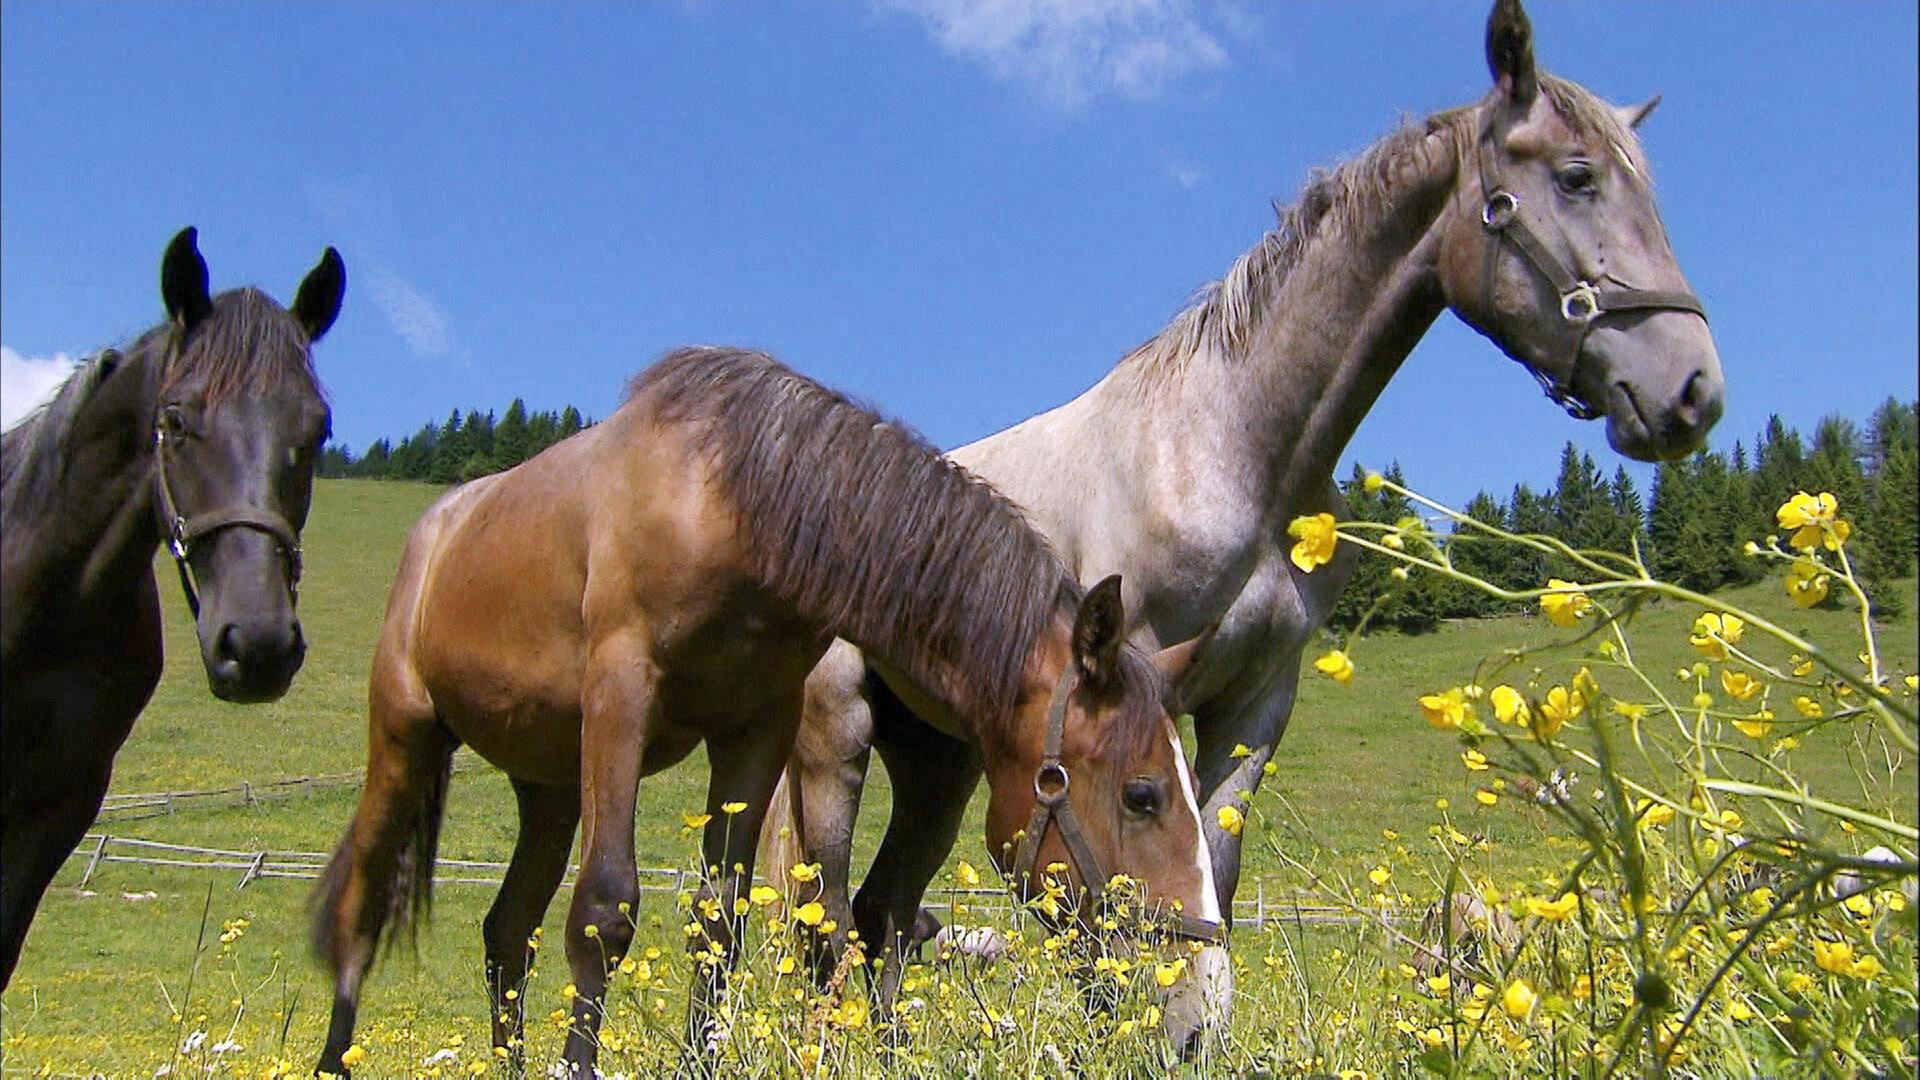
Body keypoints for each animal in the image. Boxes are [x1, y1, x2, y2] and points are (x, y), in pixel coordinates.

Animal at [310, 346, 1228, 1077]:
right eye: (1143, 795)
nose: (1198, 1018)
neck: (733, 498)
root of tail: (438, 526)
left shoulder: (756, 729)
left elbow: (718, 924)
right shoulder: (621, 696)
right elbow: (606, 910)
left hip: (549, 788)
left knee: (508, 934)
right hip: (406, 738)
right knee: (362, 911)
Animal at [763, 0, 1726, 962]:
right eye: (1577, 178)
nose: (1694, 391)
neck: (1232, 451)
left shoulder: (1256, 704)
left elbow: (1211, 875)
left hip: (942, 755)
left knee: (883, 913)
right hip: (835, 734)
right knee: (823, 917)